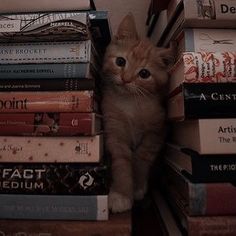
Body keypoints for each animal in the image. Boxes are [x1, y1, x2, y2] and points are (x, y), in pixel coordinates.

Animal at [101, 13, 173, 213]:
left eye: (144, 73)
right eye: (120, 62)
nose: (126, 79)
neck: (130, 103)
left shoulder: (157, 132)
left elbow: (141, 157)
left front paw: (138, 187)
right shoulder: (114, 130)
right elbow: (122, 161)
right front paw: (121, 194)